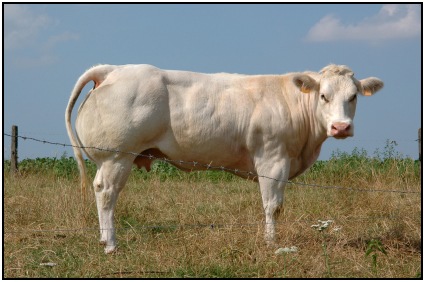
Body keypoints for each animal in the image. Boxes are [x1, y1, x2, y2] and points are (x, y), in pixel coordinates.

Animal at [64, 64, 382, 253]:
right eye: (324, 96)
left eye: (353, 96)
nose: (341, 127)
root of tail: (113, 69)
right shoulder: (272, 158)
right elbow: (272, 205)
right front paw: (271, 242)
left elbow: (276, 206)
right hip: (117, 157)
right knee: (106, 194)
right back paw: (110, 244)